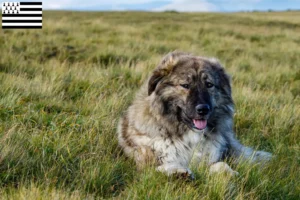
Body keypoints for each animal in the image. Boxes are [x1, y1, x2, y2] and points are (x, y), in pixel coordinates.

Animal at [118, 51, 274, 177]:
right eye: (185, 85)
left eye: (209, 85)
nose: (203, 109)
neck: (189, 136)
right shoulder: (148, 161)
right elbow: (164, 165)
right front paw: (178, 171)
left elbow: (221, 165)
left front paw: (228, 173)